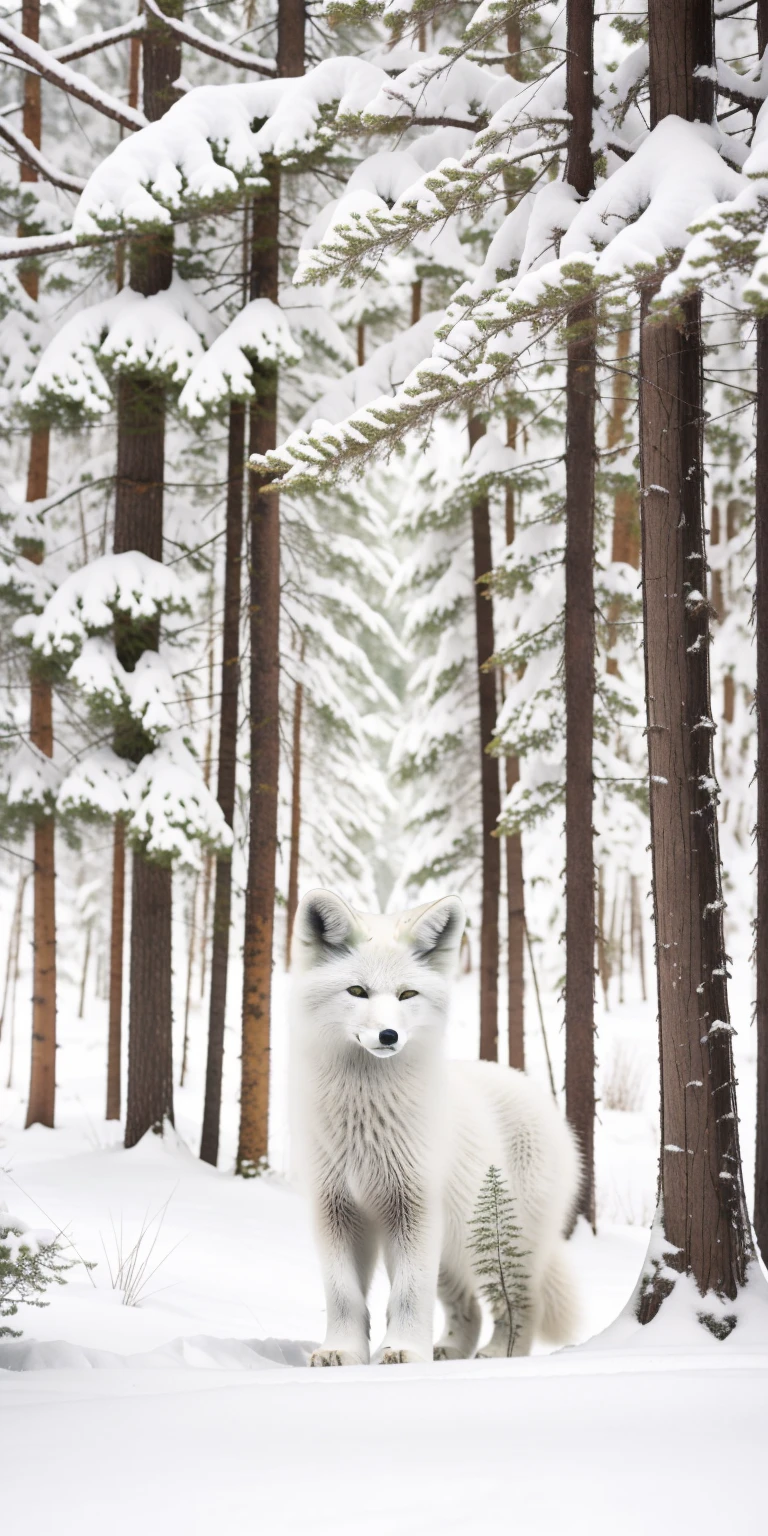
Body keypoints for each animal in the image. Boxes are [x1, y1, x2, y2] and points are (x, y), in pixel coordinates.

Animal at [290, 890, 577, 1370]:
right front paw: (341, 1351)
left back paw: (500, 1355)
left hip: (500, 1244)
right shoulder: (335, 1210)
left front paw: (404, 1351)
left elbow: (408, 1295)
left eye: (407, 994)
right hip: (454, 1252)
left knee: (520, 1305)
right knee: (471, 1308)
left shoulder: (413, 1208)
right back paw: (451, 1351)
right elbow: (343, 1295)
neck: (365, 1121)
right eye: (357, 991)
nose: (388, 1035)